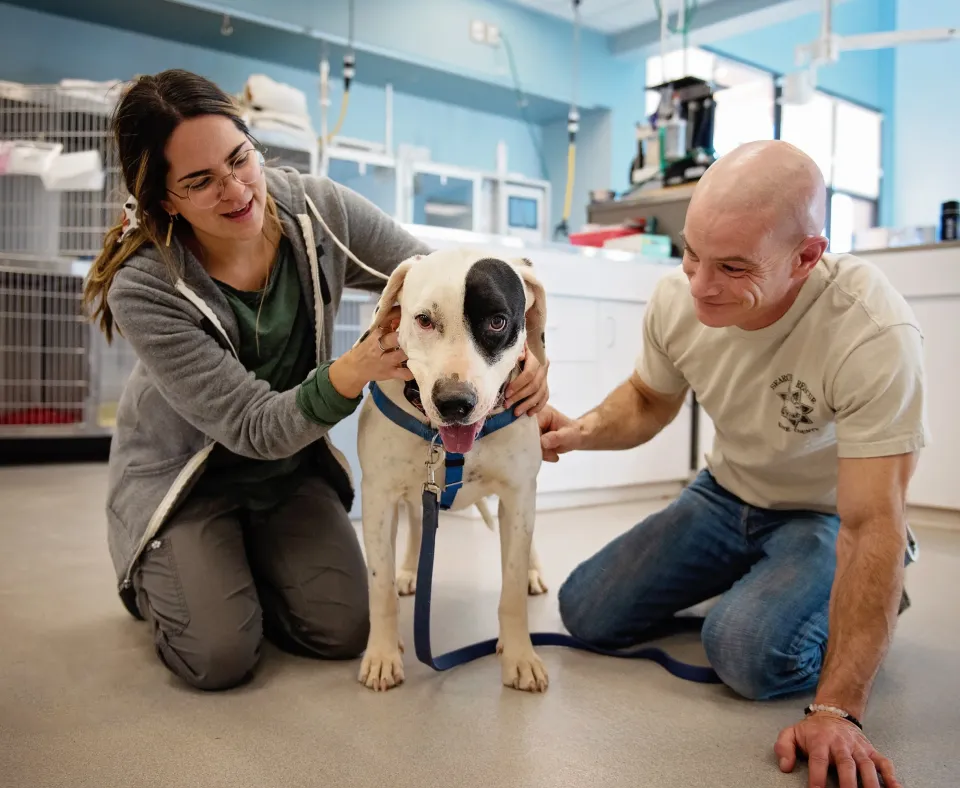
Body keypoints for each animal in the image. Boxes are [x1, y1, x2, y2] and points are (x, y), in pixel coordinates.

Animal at [354, 249, 552, 692]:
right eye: (424, 320)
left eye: (497, 321)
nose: (454, 402)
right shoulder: (378, 499)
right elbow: (378, 585)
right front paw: (382, 654)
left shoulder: (518, 495)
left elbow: (512, 589)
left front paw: (520, 656)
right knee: (415, 522)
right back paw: (410, 571)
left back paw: (535, 572)